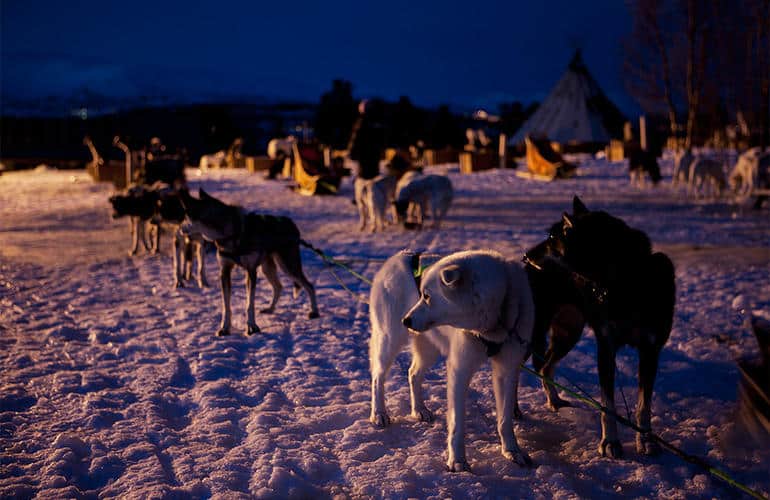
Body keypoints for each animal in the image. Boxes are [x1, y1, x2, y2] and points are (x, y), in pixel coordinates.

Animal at [181, 188, 318, 336]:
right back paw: (270, 309)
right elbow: (226, 305)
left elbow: (249, 304)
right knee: (278, 286)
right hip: (267, 268)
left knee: (309, 285)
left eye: (185, 217)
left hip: (288, 266)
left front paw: (252, 326)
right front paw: (225, 328)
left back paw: (314, 311)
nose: (180, 228)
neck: (231, 233)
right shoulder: (225, 271)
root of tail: (291, 223)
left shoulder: (251, 270)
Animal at [370, 250, 536, 472]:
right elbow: (457, 422)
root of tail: (401, 256)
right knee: (377, 377)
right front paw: (457, 461)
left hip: (428, 350)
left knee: (413, 373)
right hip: (390, 340)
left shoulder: (507, 370)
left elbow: (505, 419)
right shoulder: (460, 370)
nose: (406, 320)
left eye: (427, 296)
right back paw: (379, 413)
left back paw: (419, 410)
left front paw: (512, 451)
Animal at [520, 195, 672, 458]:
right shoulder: (606, 349)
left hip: (569, 334)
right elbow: (608, 406)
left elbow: (644, 406)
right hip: (535, 333)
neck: (624, 279)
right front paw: (610, 442)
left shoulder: (650, 351)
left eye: (552, 238)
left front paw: (646, 440)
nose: (526, 254)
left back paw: (555, 400)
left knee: (546, 366)